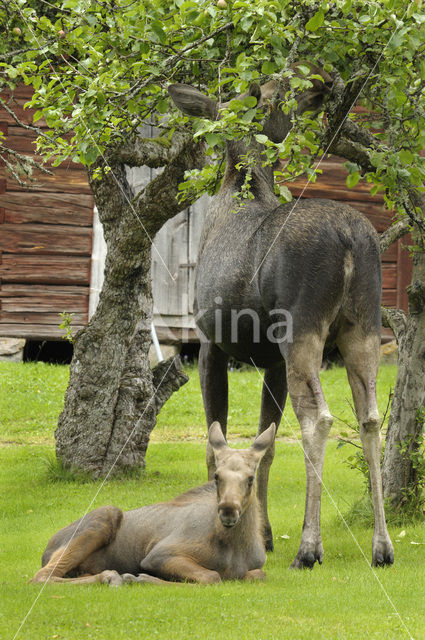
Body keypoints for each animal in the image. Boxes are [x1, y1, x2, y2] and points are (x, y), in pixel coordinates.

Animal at [30, 422, 274, 588]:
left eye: (250, 478)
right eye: (216, 476)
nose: (228, 511)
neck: (235, 546)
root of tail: (45, 550)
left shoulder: (257, 569)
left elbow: (258, 575)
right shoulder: (158, 554)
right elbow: (212, 576)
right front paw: (141, 578)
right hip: (105, 514)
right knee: (41, 576)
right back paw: (111, 576)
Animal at [167, 62, 392, 568]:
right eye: (278, 90)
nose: (320, 85)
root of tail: (350, 240)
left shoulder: (210, 341)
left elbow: (215, 442)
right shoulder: (269, 360)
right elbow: (262, 447)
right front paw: (264, 534)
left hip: (302, 328)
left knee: (319, 418)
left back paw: (310, 547)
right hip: (364, 325)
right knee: (369, 416)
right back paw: (382, 547)